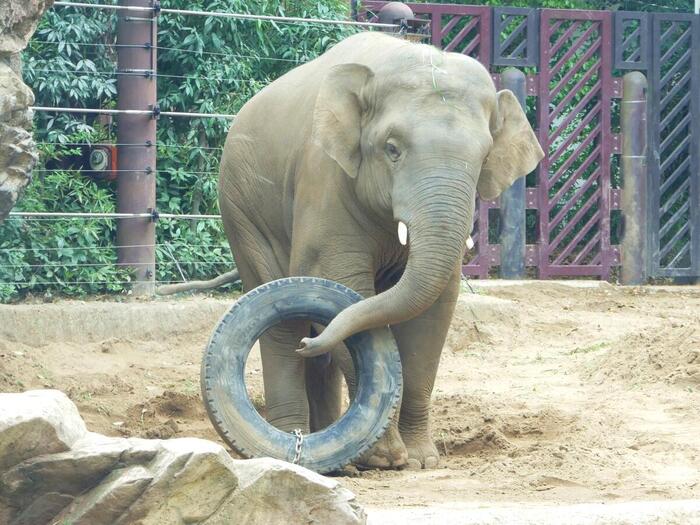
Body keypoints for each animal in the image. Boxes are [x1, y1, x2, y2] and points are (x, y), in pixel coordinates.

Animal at [217, 31, 543, 470]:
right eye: (392, 149)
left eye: (482, 157)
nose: (310, 345)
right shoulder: (325, 176)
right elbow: (336, 278)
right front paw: (385, 459)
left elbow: (434, 311)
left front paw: (421, 460)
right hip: (243, 215)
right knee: (282, 329)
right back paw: (292, 446)